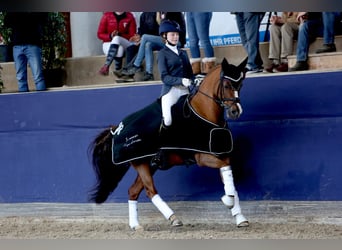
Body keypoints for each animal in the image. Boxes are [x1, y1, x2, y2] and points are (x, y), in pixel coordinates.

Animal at [88, 56, 248, 230]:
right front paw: (228, 201)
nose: (236, 111)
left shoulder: (221, 155)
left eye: (241, 85)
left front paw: (239, 216)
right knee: (150, 191)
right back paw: (173, 219)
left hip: (148, 164)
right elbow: (226, 170)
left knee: (133, 191)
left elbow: (229, 176)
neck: (204, 113)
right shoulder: (202, 157)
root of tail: (117, 129)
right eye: (226, 85)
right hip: (141, 164)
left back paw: (136, 225)